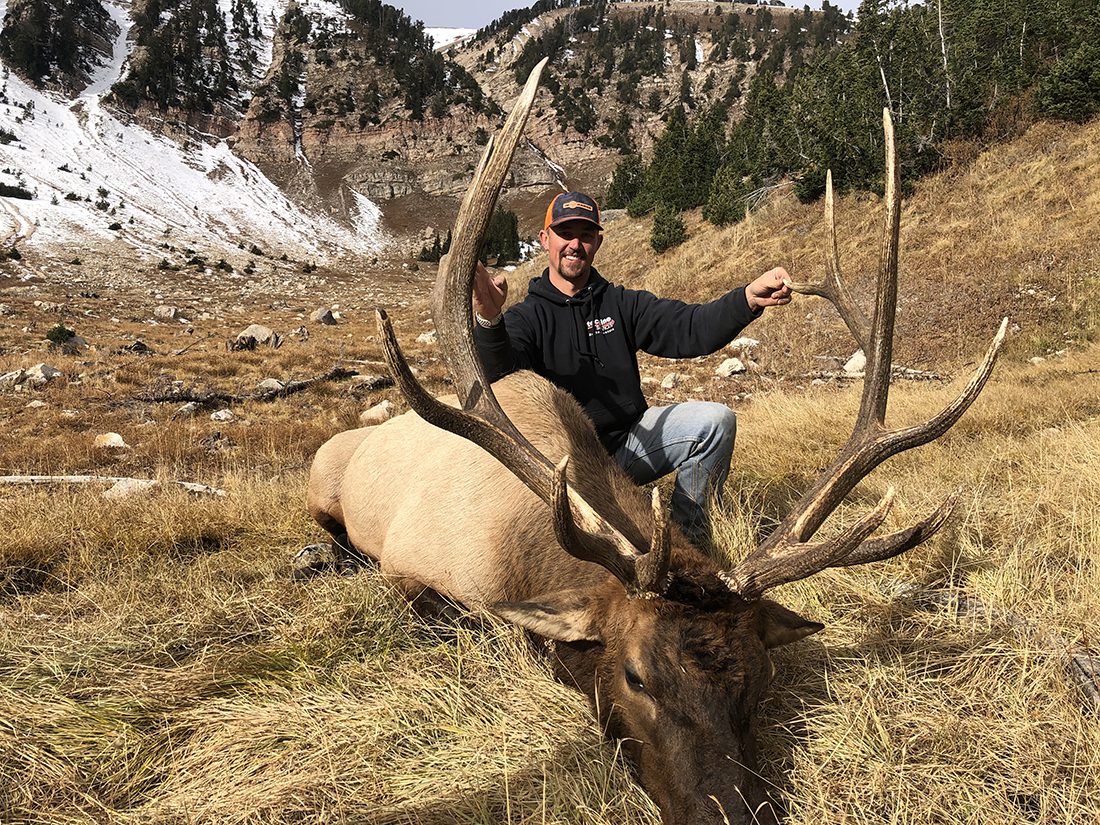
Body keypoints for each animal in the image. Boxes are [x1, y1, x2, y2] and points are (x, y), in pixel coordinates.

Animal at [306, 59, 1008, 824]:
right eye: (635, 674)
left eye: (761, 673)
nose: (729, 812)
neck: (515, 553)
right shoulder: (411, 566)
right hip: (321, 478)